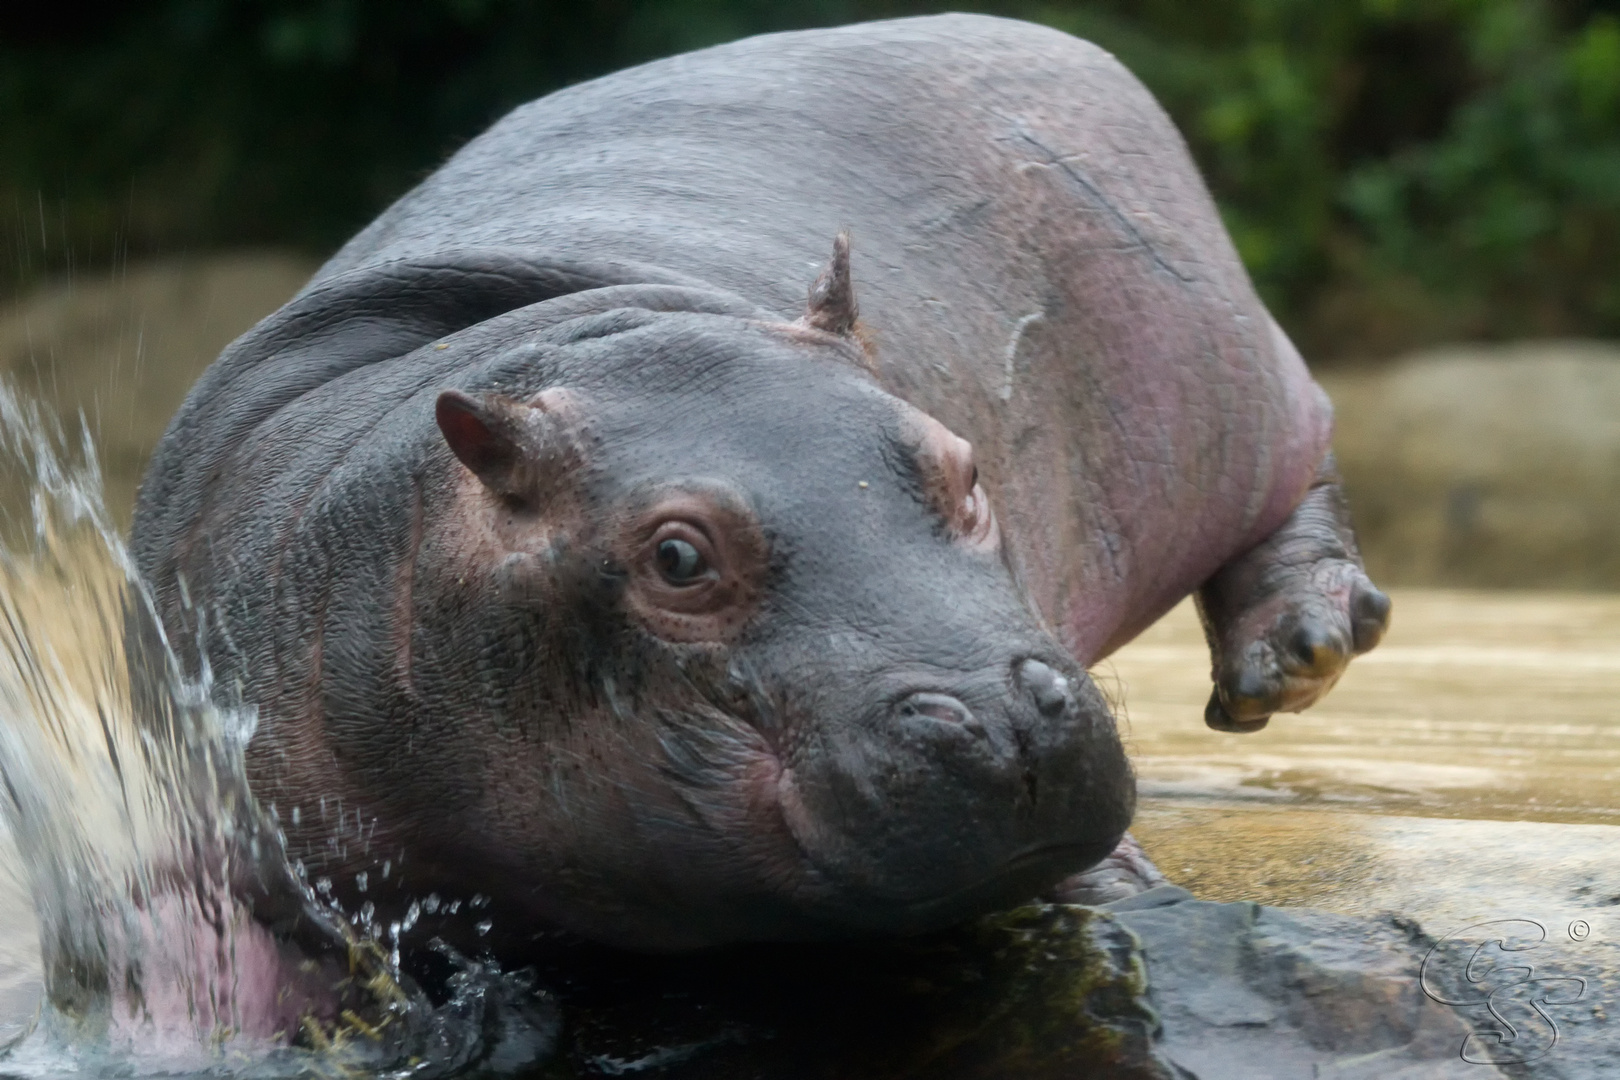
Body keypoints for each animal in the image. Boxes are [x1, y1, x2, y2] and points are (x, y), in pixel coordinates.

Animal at [129, 10, 1393, 952]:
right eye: (677, 557)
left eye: (967, 467)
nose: (1002, 718)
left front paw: (1121, 890)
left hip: (1230, 373)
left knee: (1303, 476)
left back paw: (1294, 653)